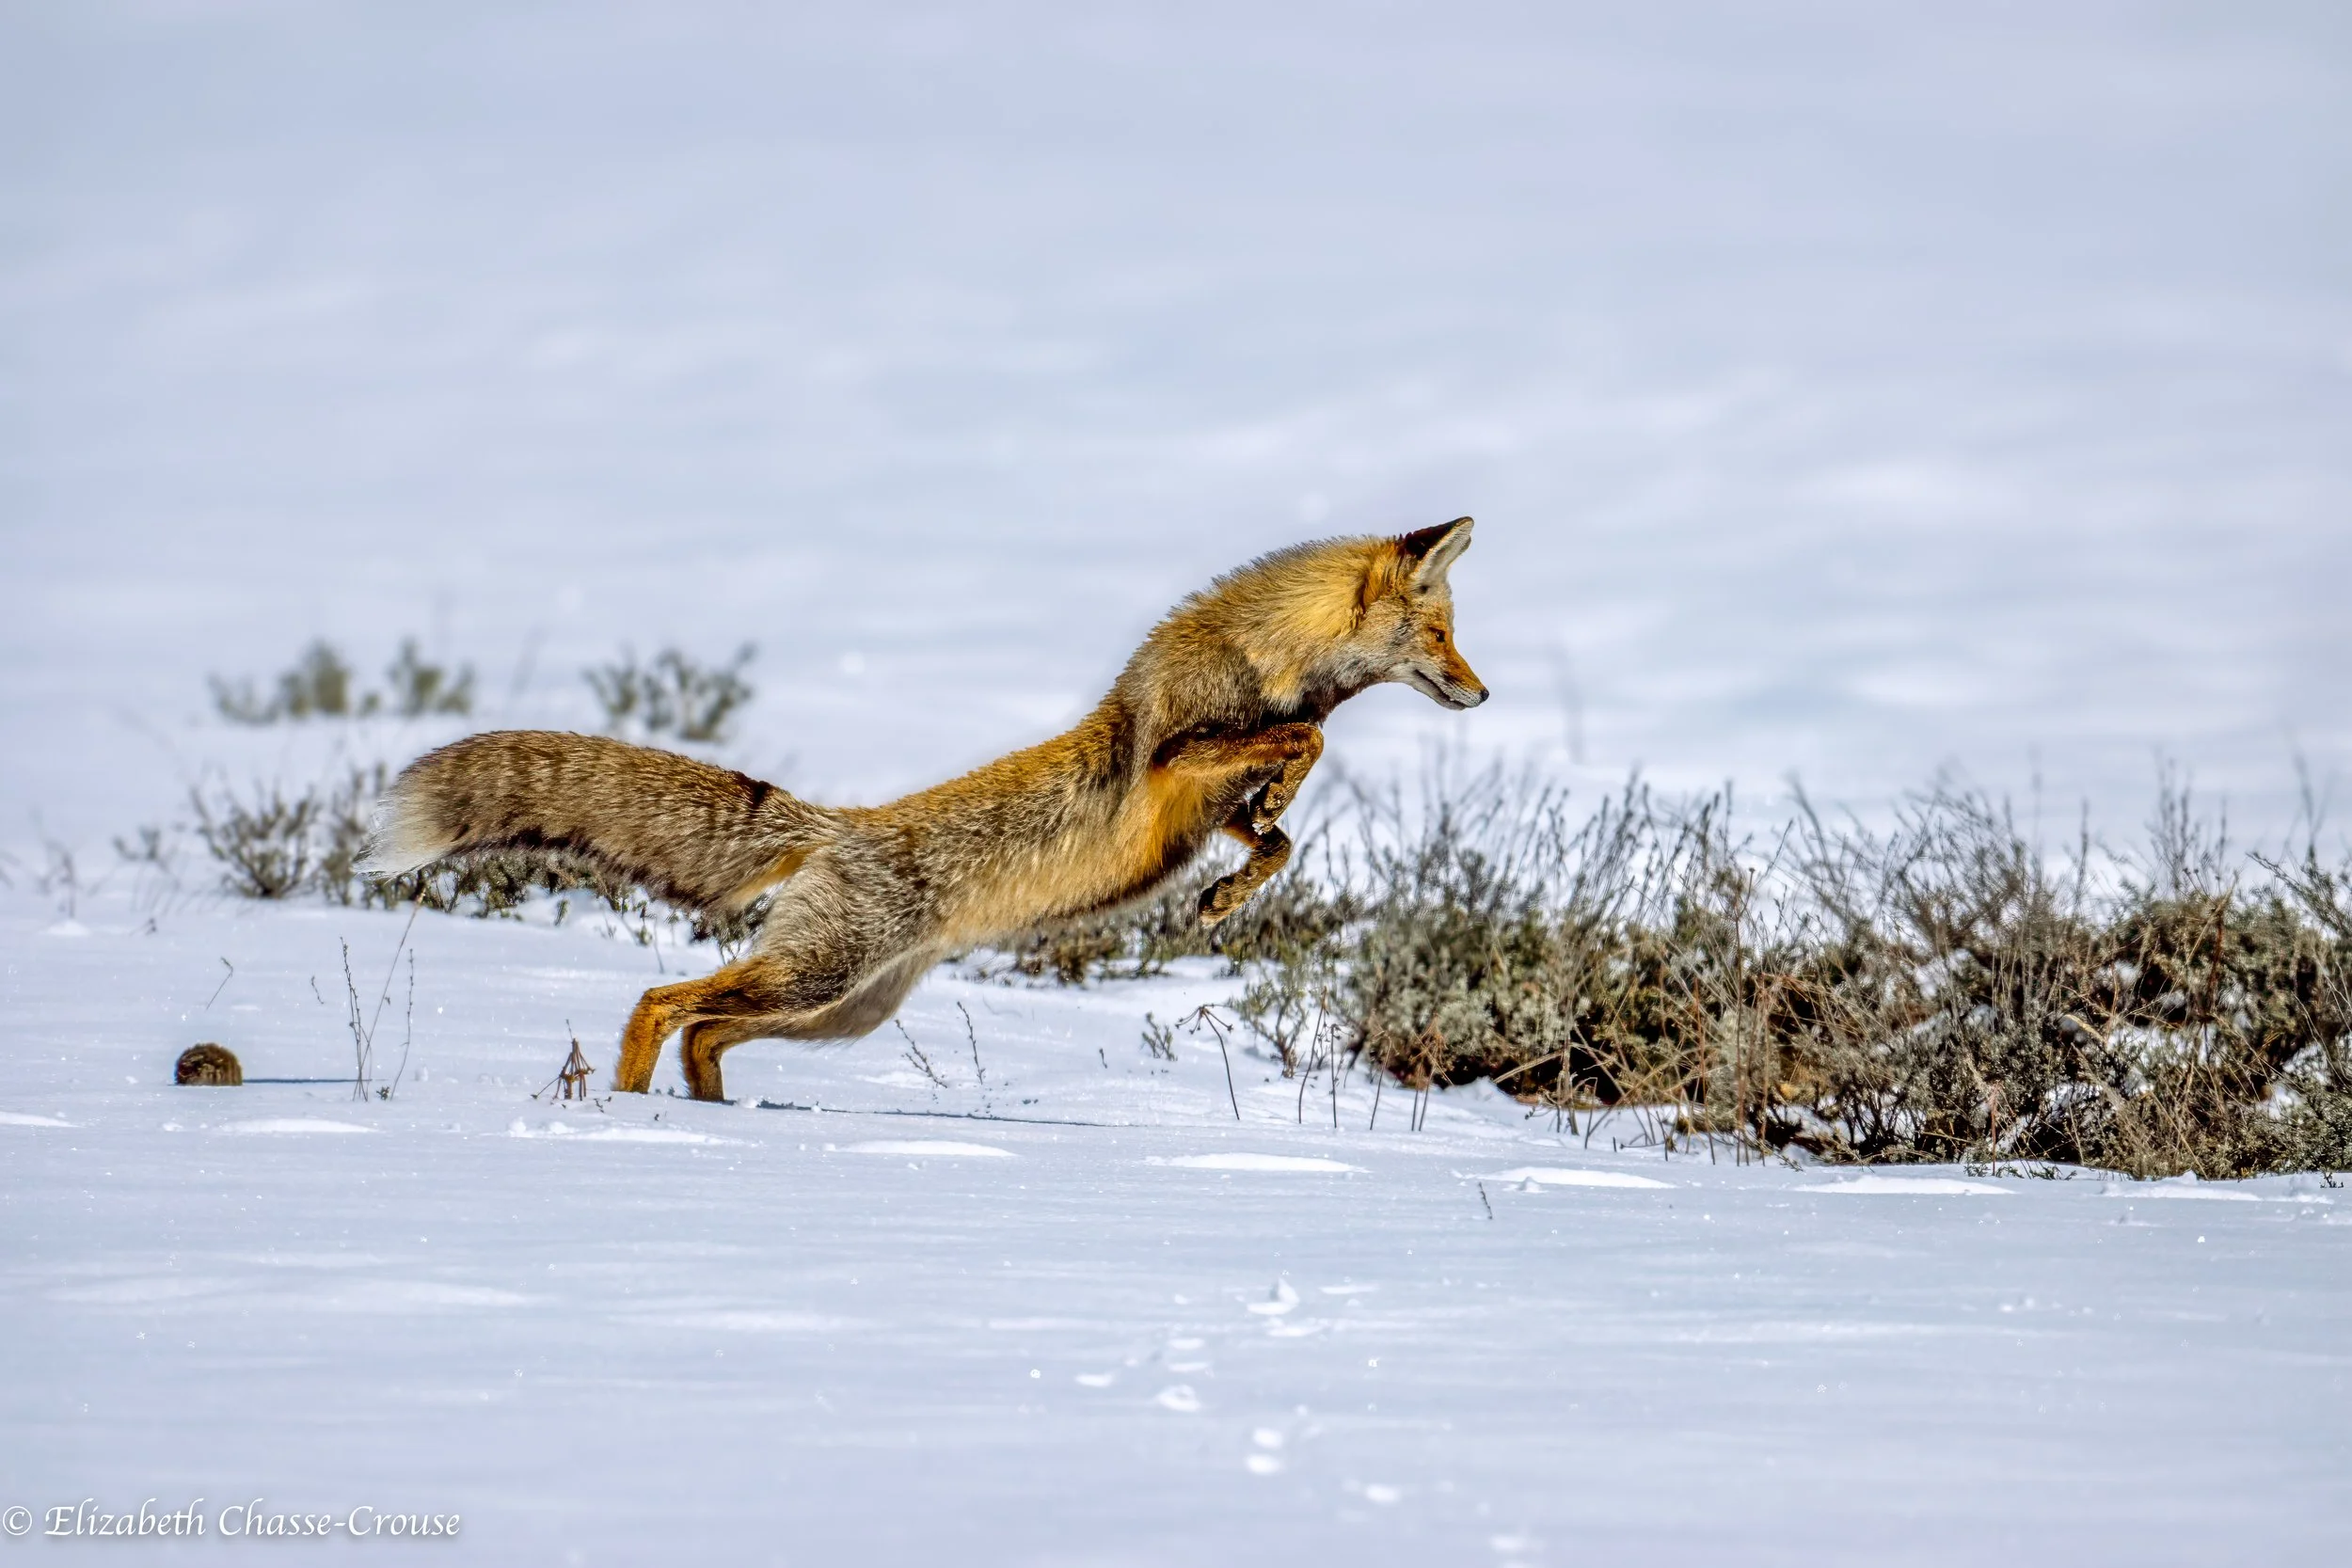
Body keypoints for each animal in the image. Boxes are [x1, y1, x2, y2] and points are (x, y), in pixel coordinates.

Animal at [365, 517, 1485, 1101]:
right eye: (1440, 634)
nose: (1481, 694)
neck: (1269, 666)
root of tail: (835, 824)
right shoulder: (1172, 757)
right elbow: (1302, 743)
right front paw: (1275, 800)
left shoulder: (1207, 814)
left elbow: (1278, 833)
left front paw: (1225, 897)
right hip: (821, 980)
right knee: (663, 1003)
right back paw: (638, 1118)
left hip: (839, 1008)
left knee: (705, 1033)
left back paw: (709, 1121)